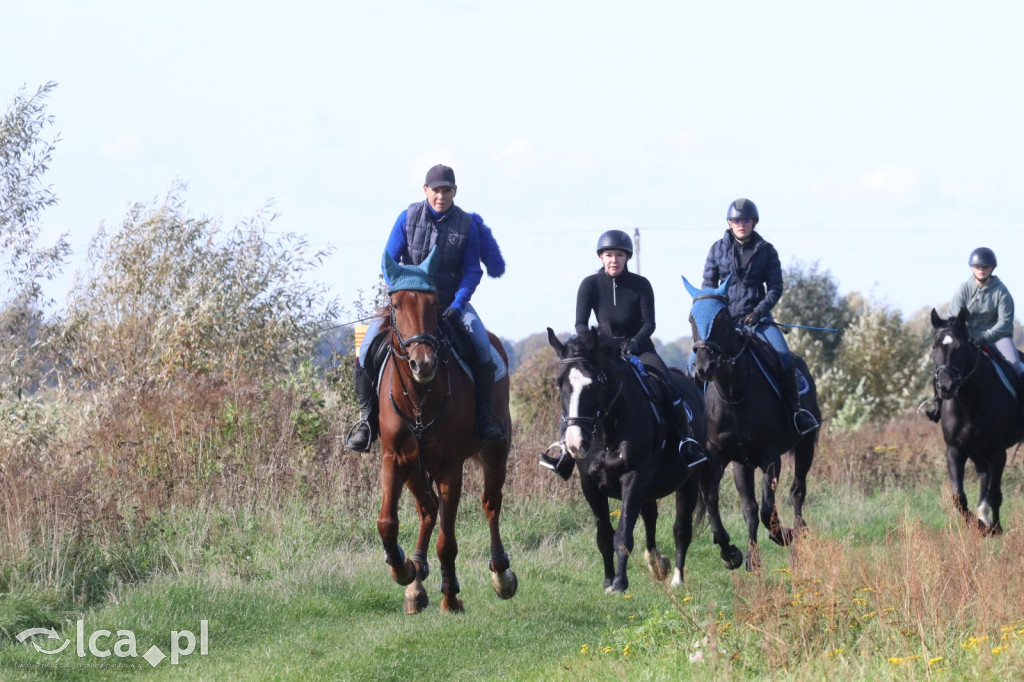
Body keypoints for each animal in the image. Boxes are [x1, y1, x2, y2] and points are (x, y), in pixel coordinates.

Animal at [374, 248, 516, 610]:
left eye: (434, 302)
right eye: (396, 305)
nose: (423, 363)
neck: (419, 398)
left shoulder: (450, 468)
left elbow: (447, 542)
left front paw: (451, 596)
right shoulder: (393, 459)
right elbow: (387, 523)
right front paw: (402, 568)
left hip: (495, 452)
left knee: (490, 503)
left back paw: (501, 574)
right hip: (414, 467)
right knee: (427, 509)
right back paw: (415, 581)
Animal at [548, 327, 741, 593]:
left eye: (595, 382)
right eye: (559, 384)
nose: (576, 443)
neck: (608, 432)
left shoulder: (633, 478)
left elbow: (623, 533)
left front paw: (620, 583)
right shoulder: (590, 484)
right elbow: (604, 535)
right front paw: (608, 580)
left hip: (690, 480)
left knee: (685, 526)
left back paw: (685, 575)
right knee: (651, 516)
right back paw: (657, 562)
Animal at [684, 274, 819, 569]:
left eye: (722, 317)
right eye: (691, 318)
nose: (704, 366)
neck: (733, 394)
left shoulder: (770, 456)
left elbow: (768, 508)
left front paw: (783, 535)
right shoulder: (719, 457)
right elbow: (715, 501)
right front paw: (731, 552)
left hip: (806, 446)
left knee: (797, 491)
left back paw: (798, 539)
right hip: (742, 464)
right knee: (751, 507)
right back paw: (753, 556)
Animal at [929, 307, 1024, 532]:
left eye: (960, 346)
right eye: (934, 346)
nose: (945, 387)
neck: (968, 403)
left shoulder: (998, 452)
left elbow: (995, 494)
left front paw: (996, 529)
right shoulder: (955, 451)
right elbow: (958, 497)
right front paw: (978, 525)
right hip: (976, 450)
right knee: (983, 475)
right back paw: (983, 515)